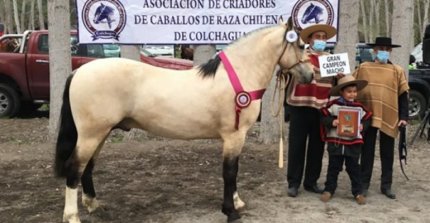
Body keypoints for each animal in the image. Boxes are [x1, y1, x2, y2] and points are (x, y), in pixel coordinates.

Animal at [55, 17, 314, 223]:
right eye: (301, 45)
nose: (311, 75)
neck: (240, 75)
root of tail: (79, 71)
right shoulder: (234, 136)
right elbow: (230, 172)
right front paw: (230, 211)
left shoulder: (236, 138)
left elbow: (235, 171)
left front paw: (237, 202)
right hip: (91, 134)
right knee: (74, 168)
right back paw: (72, 216)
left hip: (100, 133)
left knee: (88, 167)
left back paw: (93, 205)